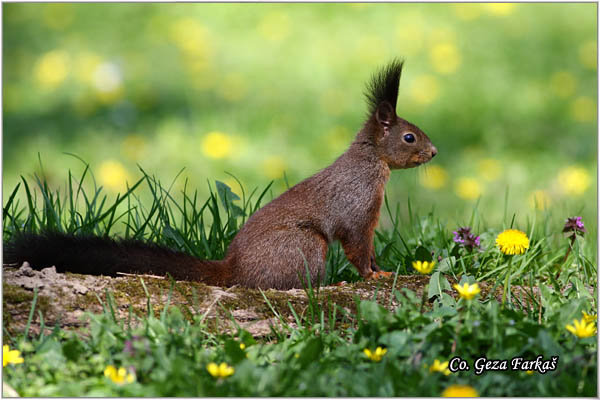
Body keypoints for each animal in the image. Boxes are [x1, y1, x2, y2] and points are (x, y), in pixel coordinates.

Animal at [4, 59, 436, 290]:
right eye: (409, 136)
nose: (433, 152)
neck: (372, 161)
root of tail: (234, 268)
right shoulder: (357, 205)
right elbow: (358, 246)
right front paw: (373, 275)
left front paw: (379, 270)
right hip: (307, 246)